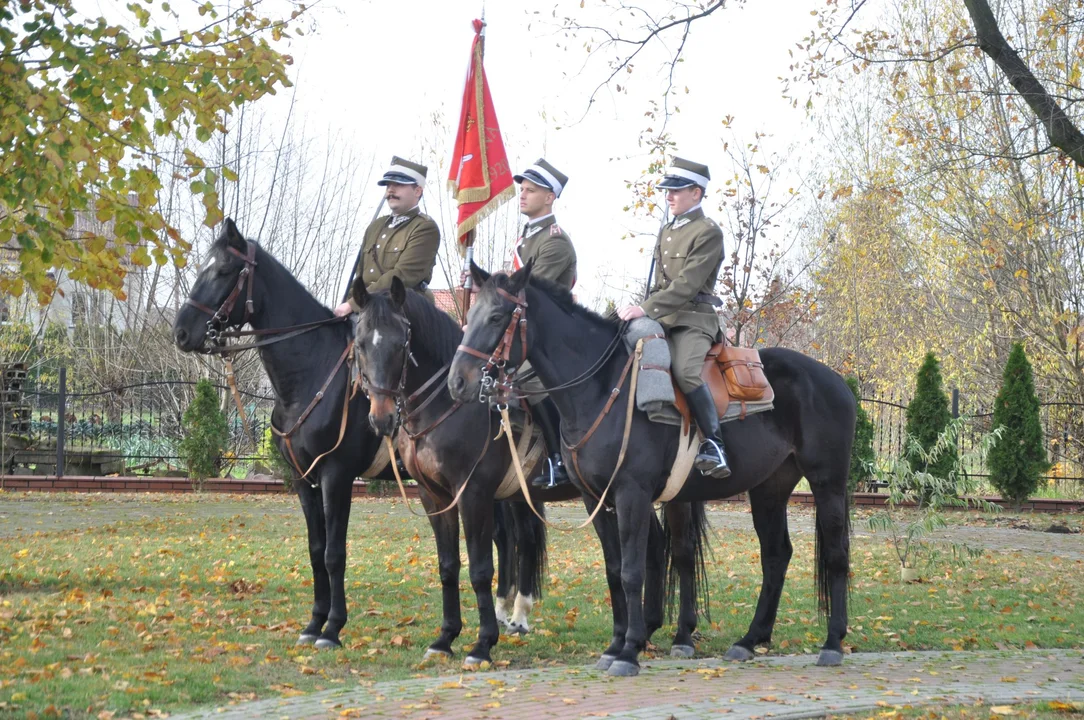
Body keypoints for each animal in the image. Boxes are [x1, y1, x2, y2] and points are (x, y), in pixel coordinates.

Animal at [448, 261, 854, 676]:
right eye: (472, 315)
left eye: (497, 316)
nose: (458, 381)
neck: (602, 389)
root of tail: (834, 379)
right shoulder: (597, 500)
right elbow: (615, 570)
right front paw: (616, 644)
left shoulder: (632, 494)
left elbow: (632, 571)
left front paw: (628, 650)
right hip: (769, 489)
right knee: (776, 555)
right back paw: (750, 639)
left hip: (827, 482)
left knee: (836, 553)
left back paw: (832, 642)